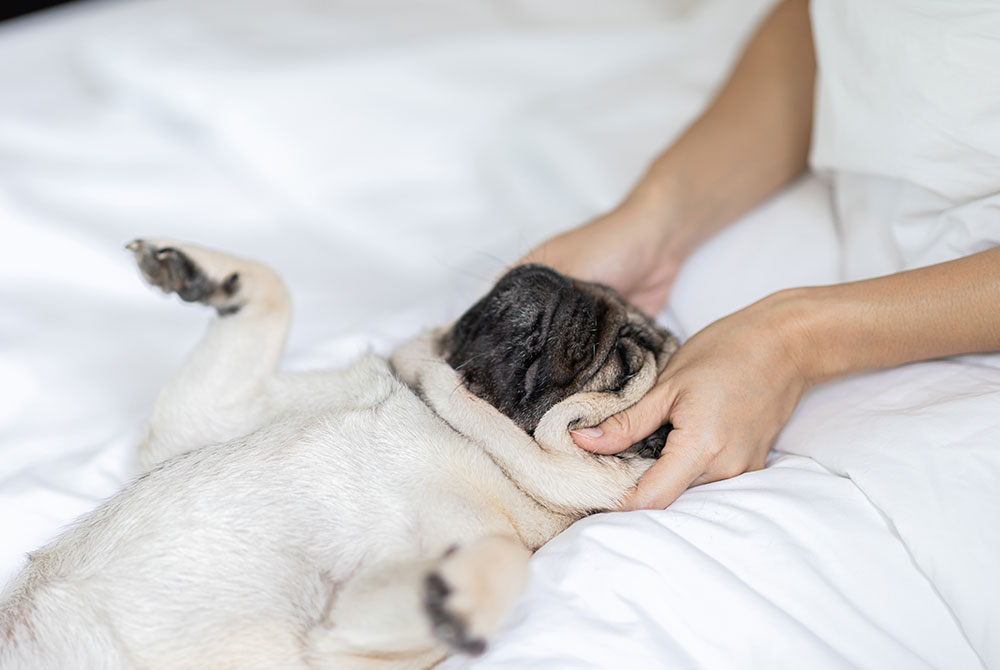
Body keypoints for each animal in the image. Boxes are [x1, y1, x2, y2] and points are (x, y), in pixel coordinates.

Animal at [0, 242, 676, 670]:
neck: (460, 428)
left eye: (625, 362)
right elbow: (274, 293)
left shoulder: (344, 651)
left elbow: (508, 559)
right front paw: (205, 271)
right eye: (597, 288)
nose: (570, 286)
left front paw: (461, 594)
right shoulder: (208, 415)